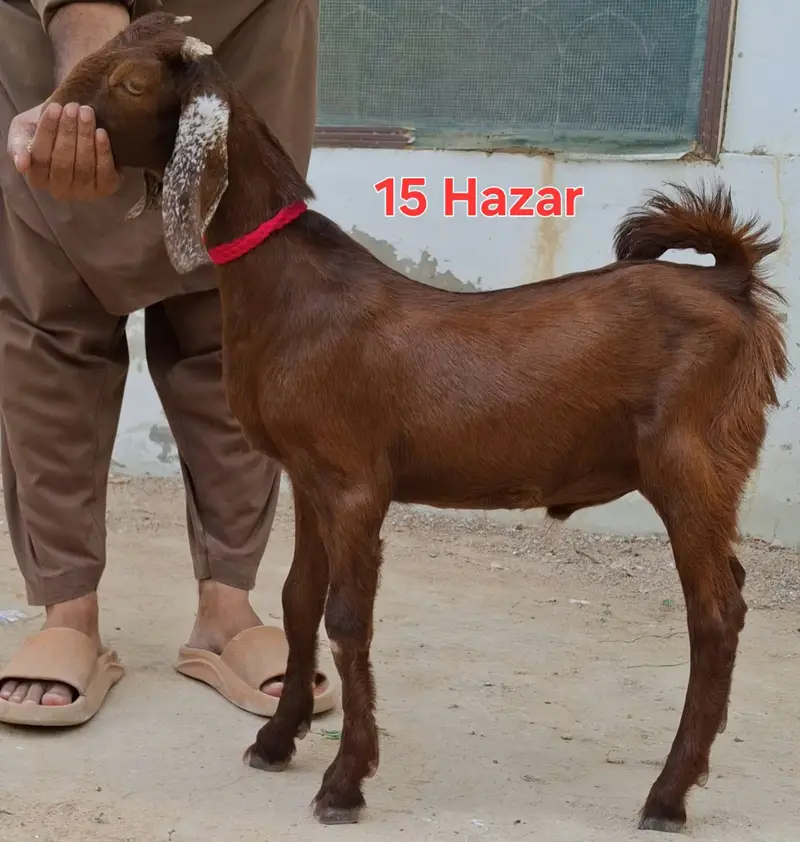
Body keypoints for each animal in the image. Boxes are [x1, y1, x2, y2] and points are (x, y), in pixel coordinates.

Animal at [47, 11, 789, 832]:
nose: (46, 128)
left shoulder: (354, 482)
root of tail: (731, 283)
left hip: (692, 465)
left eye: (131, 83)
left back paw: (667, 795)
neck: (292, 289)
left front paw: (344, 782)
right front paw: (277, 739)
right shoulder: (307, 475)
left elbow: (347, 620)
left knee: (716, 615)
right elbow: (297, 600)